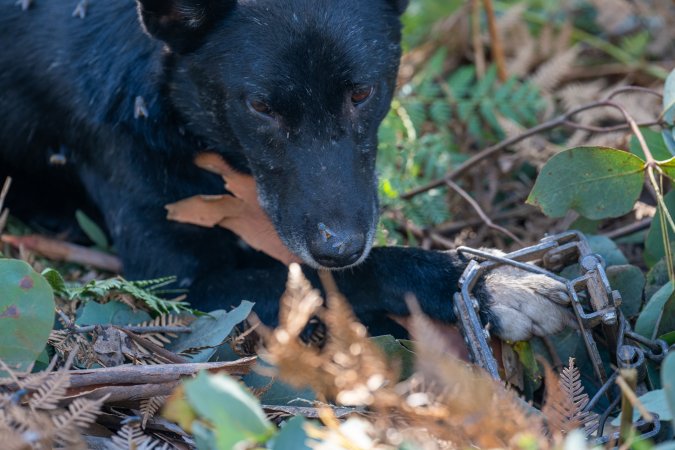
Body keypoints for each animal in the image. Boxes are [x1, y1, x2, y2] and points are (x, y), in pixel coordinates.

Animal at [0, 0, 572, 338]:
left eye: (362, 93)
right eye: (260, 107)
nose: (341, 247)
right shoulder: (182, 280)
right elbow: (347, 275)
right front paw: (488, 284)